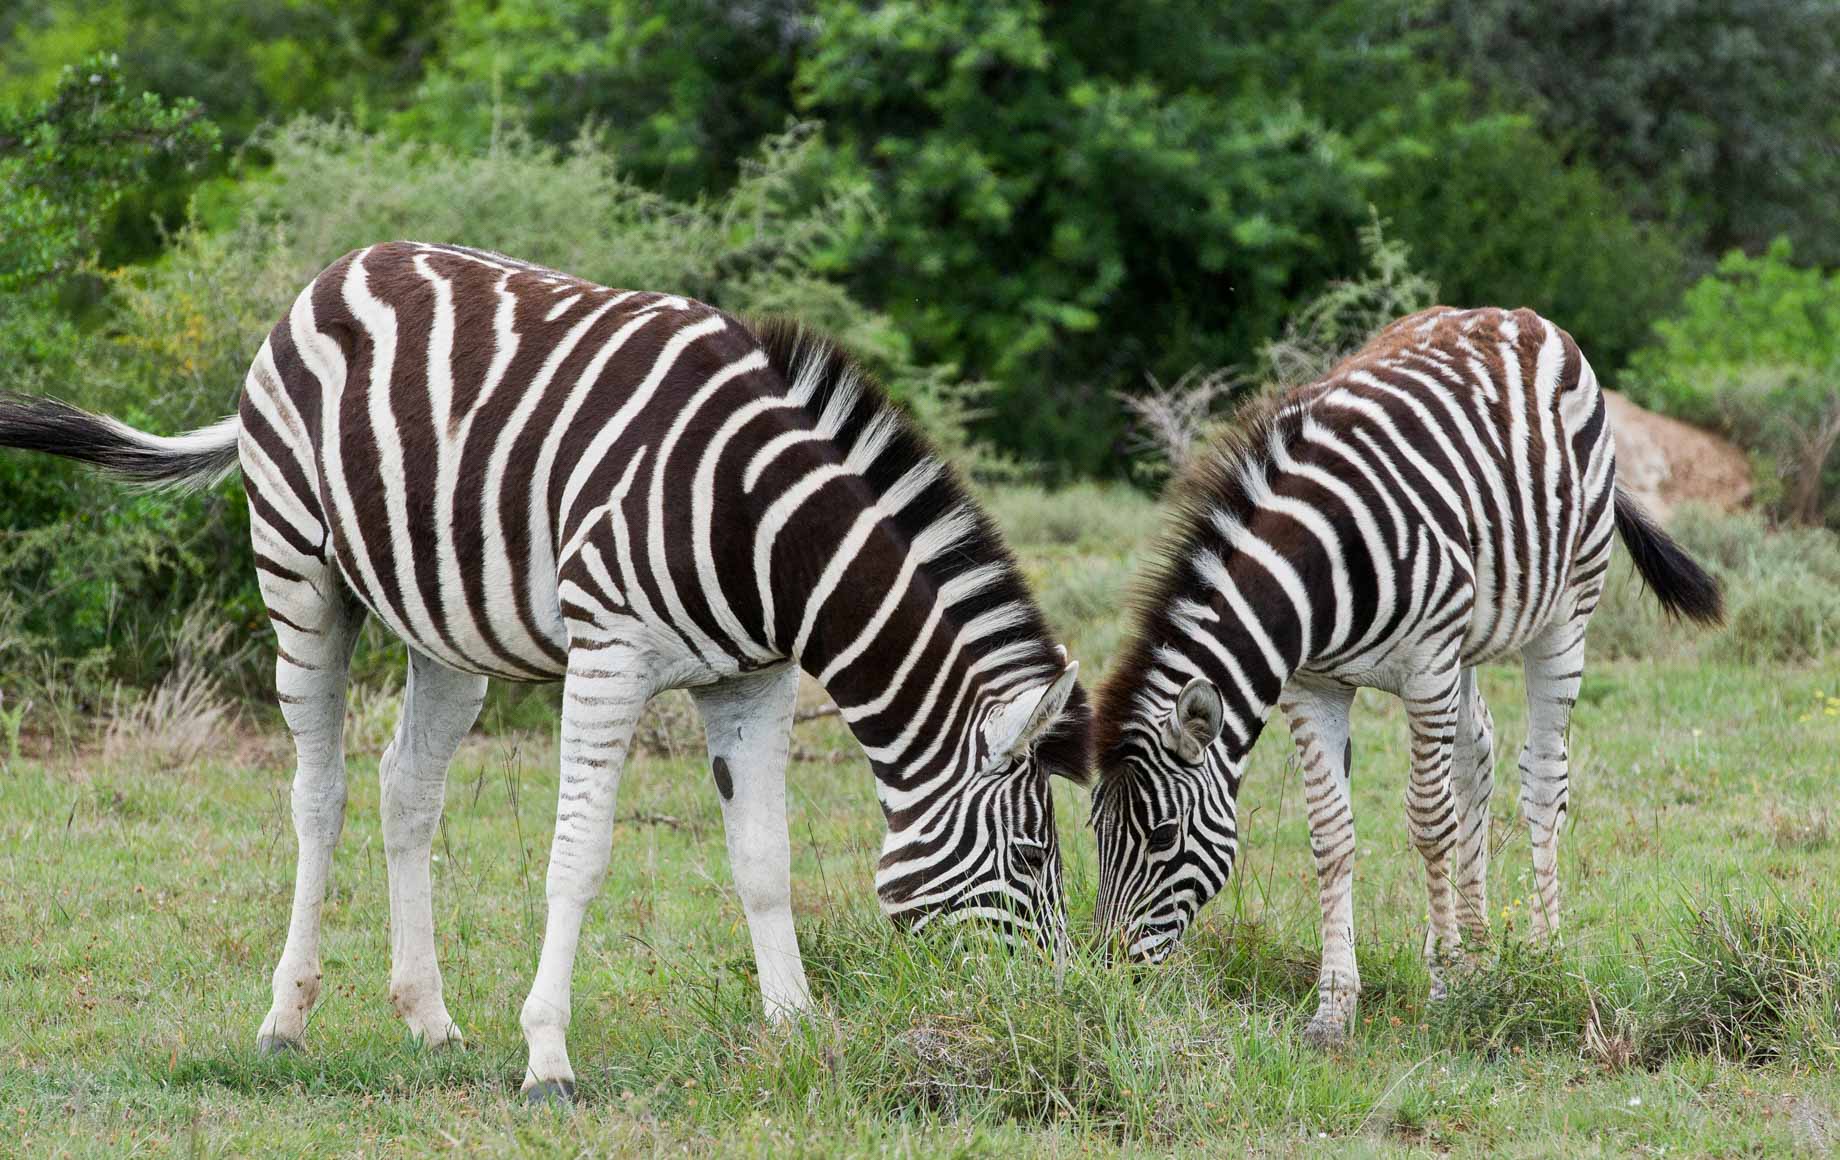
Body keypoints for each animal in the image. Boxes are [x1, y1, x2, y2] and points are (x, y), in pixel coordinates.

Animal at [0, 241, 1090, 1100]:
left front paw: (795, 1030)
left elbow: (762, 860)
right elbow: (580, 855)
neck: (761, 533)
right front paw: (548, 1060)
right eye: (1034, 855)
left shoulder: (753, 676)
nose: (1049, 1010)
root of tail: (334, 271)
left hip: (443, 624)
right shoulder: (610, 651)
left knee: (406, 786)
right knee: (320, 789)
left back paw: (428, 1017)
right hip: (300, 570)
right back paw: (285, 1019)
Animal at [1088, 306, 1722, 1044]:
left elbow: (1427, 822)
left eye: (1163, 836)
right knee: (1478, 754)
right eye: (1093, 831)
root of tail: (1519, 316)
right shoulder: (1314, 685)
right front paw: (1336, 1006)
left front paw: (1444, 987)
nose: (1109, 973)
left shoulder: (1425, 667)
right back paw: (1481, 949)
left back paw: (1542, 956)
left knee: (1542, 778)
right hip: (1469, 638)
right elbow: (1331, 834)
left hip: (1565, 612)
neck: (1320, 571)